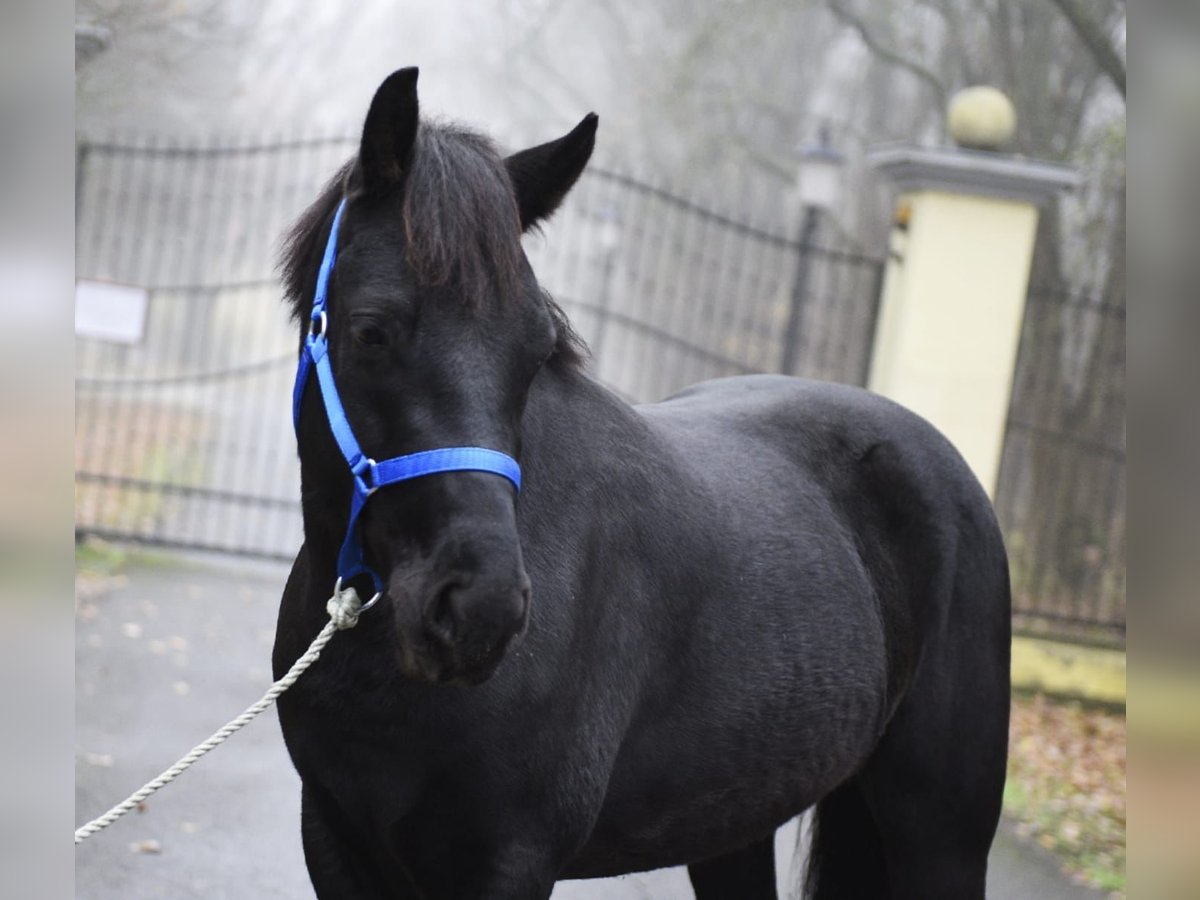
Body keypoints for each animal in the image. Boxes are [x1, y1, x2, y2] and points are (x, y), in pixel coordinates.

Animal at [272, 67, 1011, 899]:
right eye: (371, 331)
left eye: (538, 350)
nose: (481, 608)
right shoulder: (334, 839)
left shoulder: (506, 859)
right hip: (735, 827)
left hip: (940, 841)